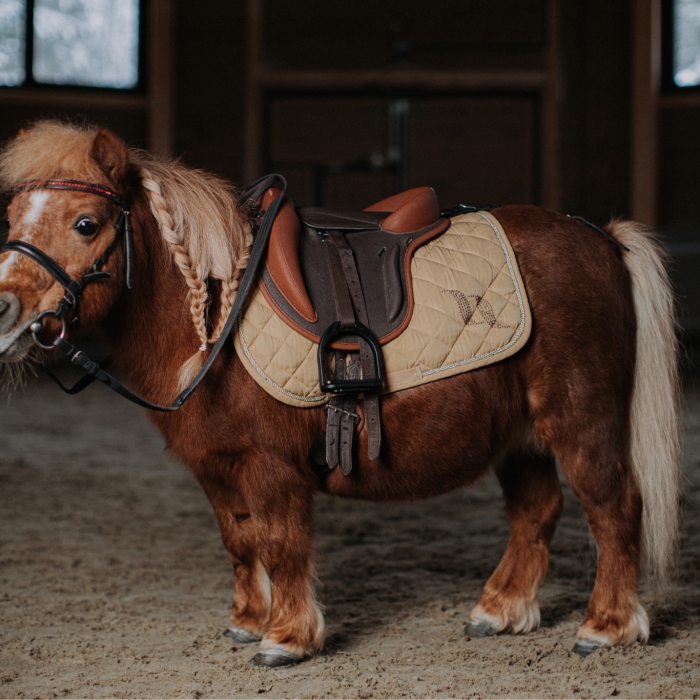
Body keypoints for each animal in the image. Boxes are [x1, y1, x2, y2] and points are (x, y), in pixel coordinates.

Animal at [0, 121, 681, 667]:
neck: (215, 314)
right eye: (10, 222)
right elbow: (241, 542)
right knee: (537, 511)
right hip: (522, 437)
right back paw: (501, 610)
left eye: (86, 224)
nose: (4, 310)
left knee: (614, 507)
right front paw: (247, 623)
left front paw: (288, 638)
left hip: (580, 420)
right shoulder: (217, 469)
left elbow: (280, 543)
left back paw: (606, 626)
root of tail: (601, 238)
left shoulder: (270, 467)